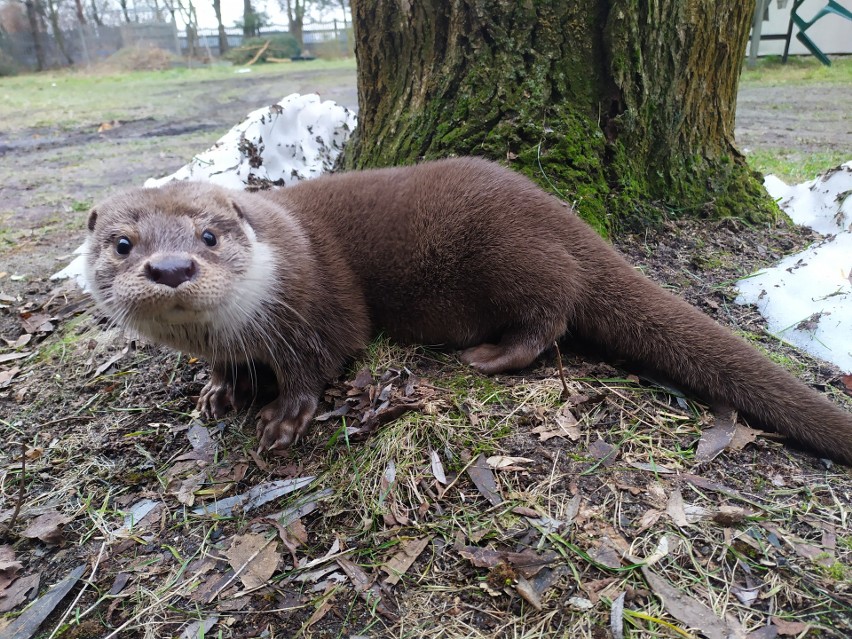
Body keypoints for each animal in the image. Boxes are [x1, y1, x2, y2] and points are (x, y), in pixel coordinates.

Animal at [81, 158, 852, 462]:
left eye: (209, 235)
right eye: (122, 243)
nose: (171, 268)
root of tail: (560, 212)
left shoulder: (315, 304)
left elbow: (319, 361)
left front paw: (283, 416)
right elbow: (221, 370)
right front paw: (216, 391)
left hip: (507, 256)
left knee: (553, 314)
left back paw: (489, 356)